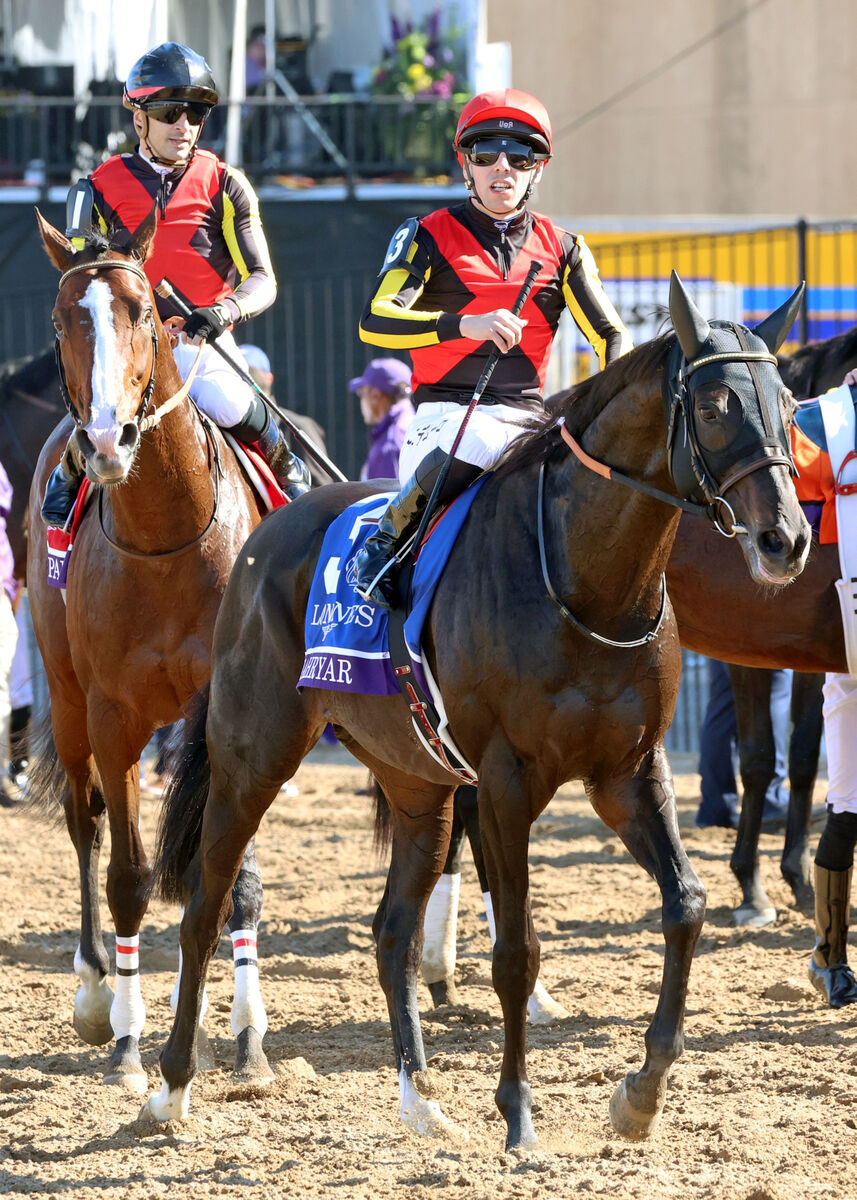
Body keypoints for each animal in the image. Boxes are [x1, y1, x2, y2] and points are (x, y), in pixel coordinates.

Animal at [25, 213, 270, 1099]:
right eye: (61, 320)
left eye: (145, 313)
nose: (105, 438)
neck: (167, 537)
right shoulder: (112, 714)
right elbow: (127, 875)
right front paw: (131, 1044)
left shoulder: (234, 710)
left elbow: (233, 880)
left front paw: (245, 1039)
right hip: (65, 700)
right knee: (83, 822)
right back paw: (97, 990)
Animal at [143, 276, 806, 1147]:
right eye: (717, 404)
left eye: (790, 405)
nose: (785, 539)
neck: (585, 583)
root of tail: (268, 527)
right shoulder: (505, 782)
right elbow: (516, 949)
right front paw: (519, 1112)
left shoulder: (628, 771)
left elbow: (685, 905)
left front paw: (641, 1090)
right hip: (253, 757)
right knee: (205, 906)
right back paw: (171, 1087)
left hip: (416, 781)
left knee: (391, 930)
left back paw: (420, 1097)